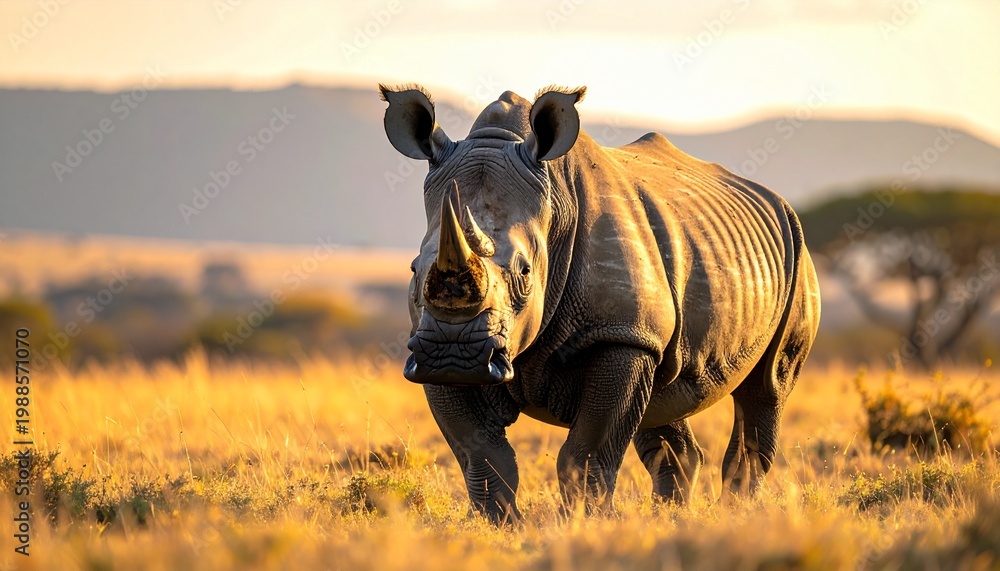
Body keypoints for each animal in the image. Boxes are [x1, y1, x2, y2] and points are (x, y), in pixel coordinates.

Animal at [379, 84, 821, 523]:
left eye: (524, 272)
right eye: (415, 269)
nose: (455, 354)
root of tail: (777, 201)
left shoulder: (621, 334)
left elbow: (585, 452)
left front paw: (585, 521)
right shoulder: (430, 350)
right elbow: (482, 454)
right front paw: (502, 524)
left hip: (798, 253)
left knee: (766, 388)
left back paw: (736, 513)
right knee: (663, 400)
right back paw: (670, 516)